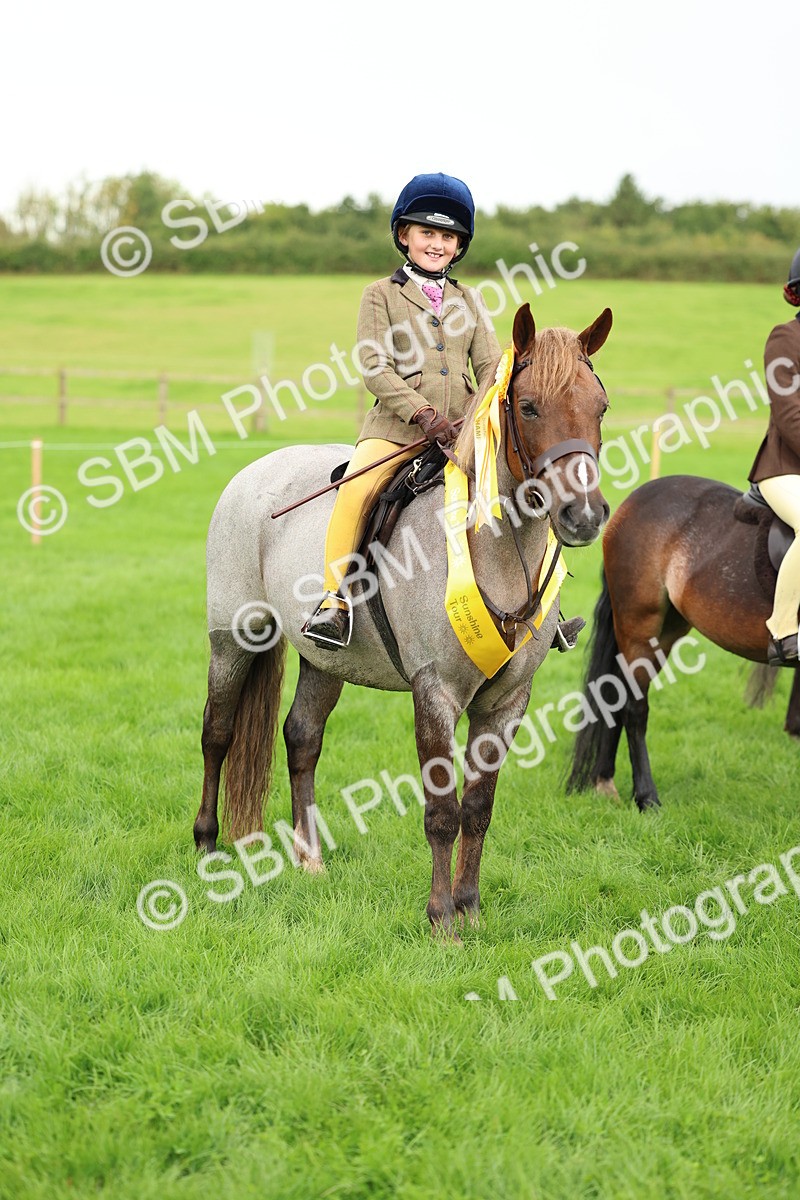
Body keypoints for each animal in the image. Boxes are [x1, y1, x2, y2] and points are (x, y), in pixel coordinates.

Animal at [194, 301, 612, 937]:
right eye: (530, 406)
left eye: (600, 405)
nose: (584, 516)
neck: (488, 550)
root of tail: (256, 471)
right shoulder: (434, 692)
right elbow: (442, 810)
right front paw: (442, 920)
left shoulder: (507, 702)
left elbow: (478, 808)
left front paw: (470, 909)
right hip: (236, 636)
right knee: (217, 732)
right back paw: (207, 846)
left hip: (326, 661)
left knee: (302, 737)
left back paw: (309, 857)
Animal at [567, 473, 800, 812]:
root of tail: (634, 499)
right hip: (639, 627)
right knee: (634, 707)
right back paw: (646, 797)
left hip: (666, 631)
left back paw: (604, 781)